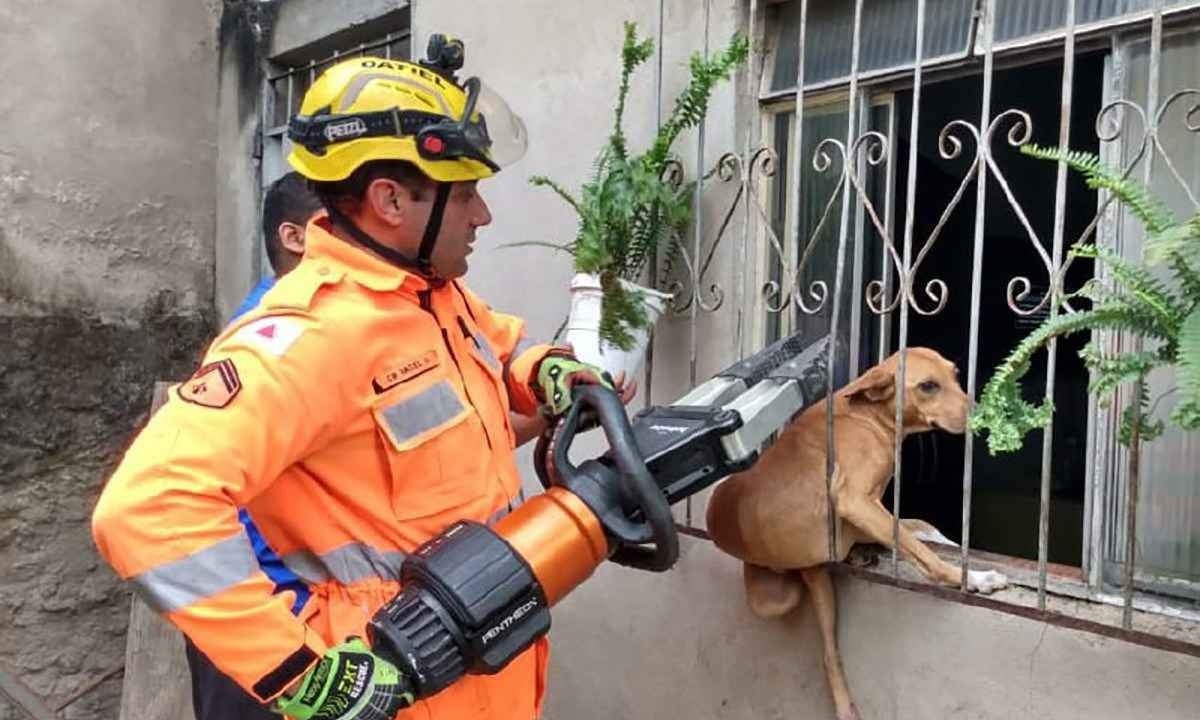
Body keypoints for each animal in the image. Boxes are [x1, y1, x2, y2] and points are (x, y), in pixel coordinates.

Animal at [705, 345, 1008, 715]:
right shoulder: (854, 502)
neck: (870, 415)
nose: (985, 415)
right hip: (777, 599)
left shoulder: (867, 516)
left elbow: (924, 530)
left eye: (956, 375)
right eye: (928, 386)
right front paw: (975, 578)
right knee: (828, 656)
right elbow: (923, 553)